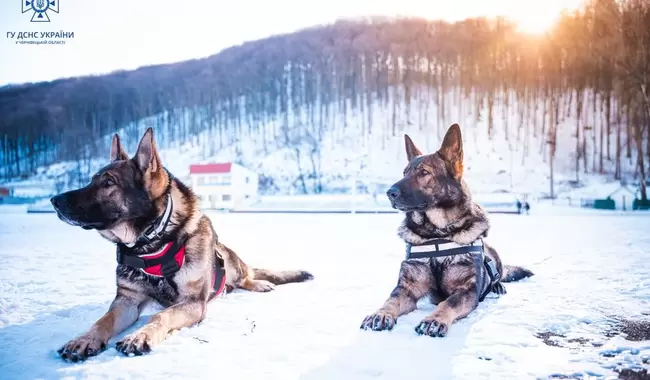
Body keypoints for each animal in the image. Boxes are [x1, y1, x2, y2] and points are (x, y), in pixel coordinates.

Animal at [49, 128, 312, 362]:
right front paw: (84, 339)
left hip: (230, 260)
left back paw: (258, 283)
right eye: (92, 181)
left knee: (247, 276)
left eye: (108, 183)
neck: (152, 246)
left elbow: (161, 316)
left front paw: (139, 336)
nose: (54, 201)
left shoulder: (193, 303)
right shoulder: (127, 302)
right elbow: (103, 321)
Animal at [360, 124, 532, 336]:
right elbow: (390, 300)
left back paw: (497, 285)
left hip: (493, 254)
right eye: (404, 173)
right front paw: (380, 314)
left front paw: (434, 319)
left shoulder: (466, 290)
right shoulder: (407, 288)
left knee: (497, 273)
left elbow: (448, 303)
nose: (389, 193)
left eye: (423, 173)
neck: (437, 234)